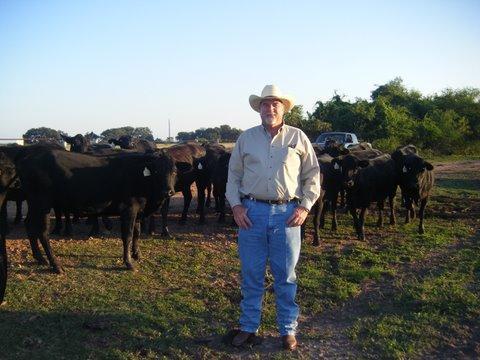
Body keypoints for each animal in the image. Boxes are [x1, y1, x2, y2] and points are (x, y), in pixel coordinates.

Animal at [14, 146, 176, 272]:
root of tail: (27, 159)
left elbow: (137, 233)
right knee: (43, 232)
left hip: (34, 203)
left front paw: (137, 255)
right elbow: (128, 235)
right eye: (157, 171)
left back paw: (40, 258)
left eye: (174, 171)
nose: (168, 191)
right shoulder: (129, 209)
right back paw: (56, 265)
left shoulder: (138, 211)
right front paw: (128, 263)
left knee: (29, 224)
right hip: (43, 203)